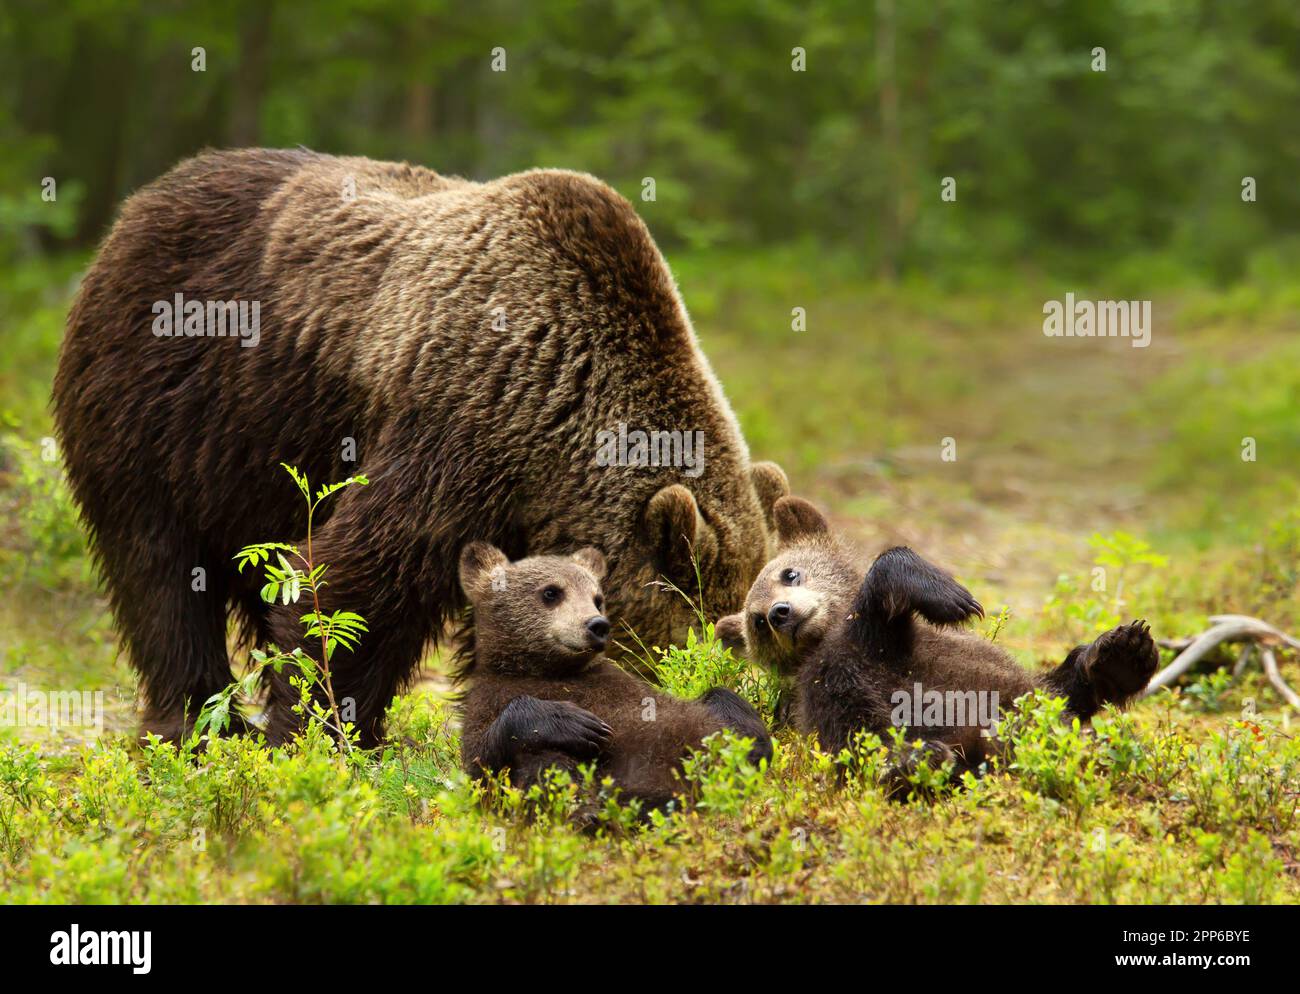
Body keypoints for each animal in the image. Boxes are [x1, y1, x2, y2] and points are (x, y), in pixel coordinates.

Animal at [51, 148, 790, 748]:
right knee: (161, 570)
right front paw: (324, 736)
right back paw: (198, 726)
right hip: (160, 403)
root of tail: (141, 202)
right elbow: (351, 582)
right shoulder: (458, 424)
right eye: (702, 646)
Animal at [456, 541, 772, 814]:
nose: (597, 625)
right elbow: (482, 757)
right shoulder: (488, 698)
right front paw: (576, 722)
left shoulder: (625, 684)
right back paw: (589, 815)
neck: (550, 669)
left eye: (597, 599)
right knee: (547, 760)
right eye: (551, 592)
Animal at [714, 497, 1159, 783]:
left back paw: (1121, 654)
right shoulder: (834, 681)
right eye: (756, 621)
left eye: (789, 573)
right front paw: (950, 598)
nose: (778, 613)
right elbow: (858, 738)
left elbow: (1053, 689)